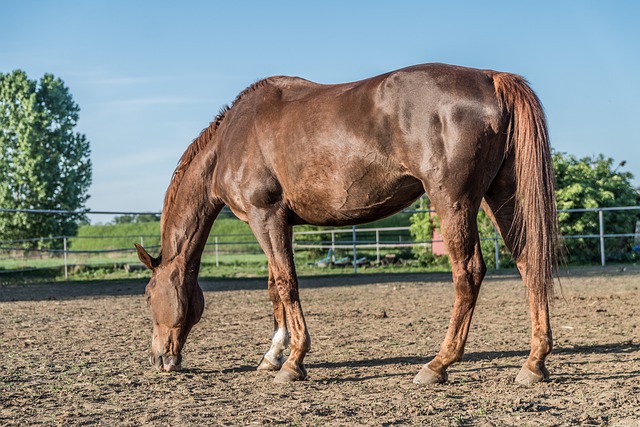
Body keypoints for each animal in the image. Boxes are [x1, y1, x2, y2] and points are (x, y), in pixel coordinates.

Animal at [136, 63, 560, 388]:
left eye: (147, 294)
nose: (158, 359)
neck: (232, 139)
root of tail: (490, 78)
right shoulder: (278, 221)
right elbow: (274, 287)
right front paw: (273, 355)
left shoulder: (264, 216)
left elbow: (286, 285)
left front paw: (293, 362)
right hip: (500, 196)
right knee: (528, 262)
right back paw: (534, 362)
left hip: (453, 201)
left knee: (468, 273)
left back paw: (438, 364)